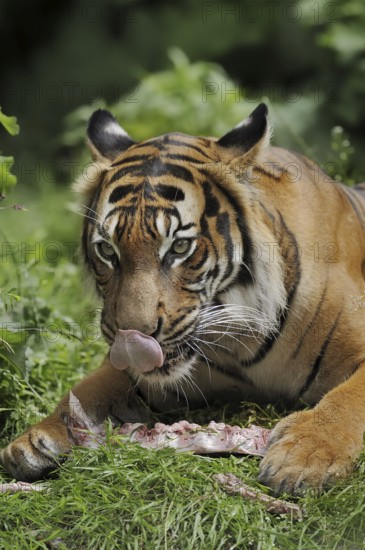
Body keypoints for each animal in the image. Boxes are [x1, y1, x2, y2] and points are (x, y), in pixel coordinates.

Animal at [2, 102, 364, 496]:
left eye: (179, 247)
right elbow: (86, 388)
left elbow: (348, 398)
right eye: (107, 251)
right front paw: (33, 441)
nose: (133, 338)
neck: (241, 345)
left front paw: (303, 457)